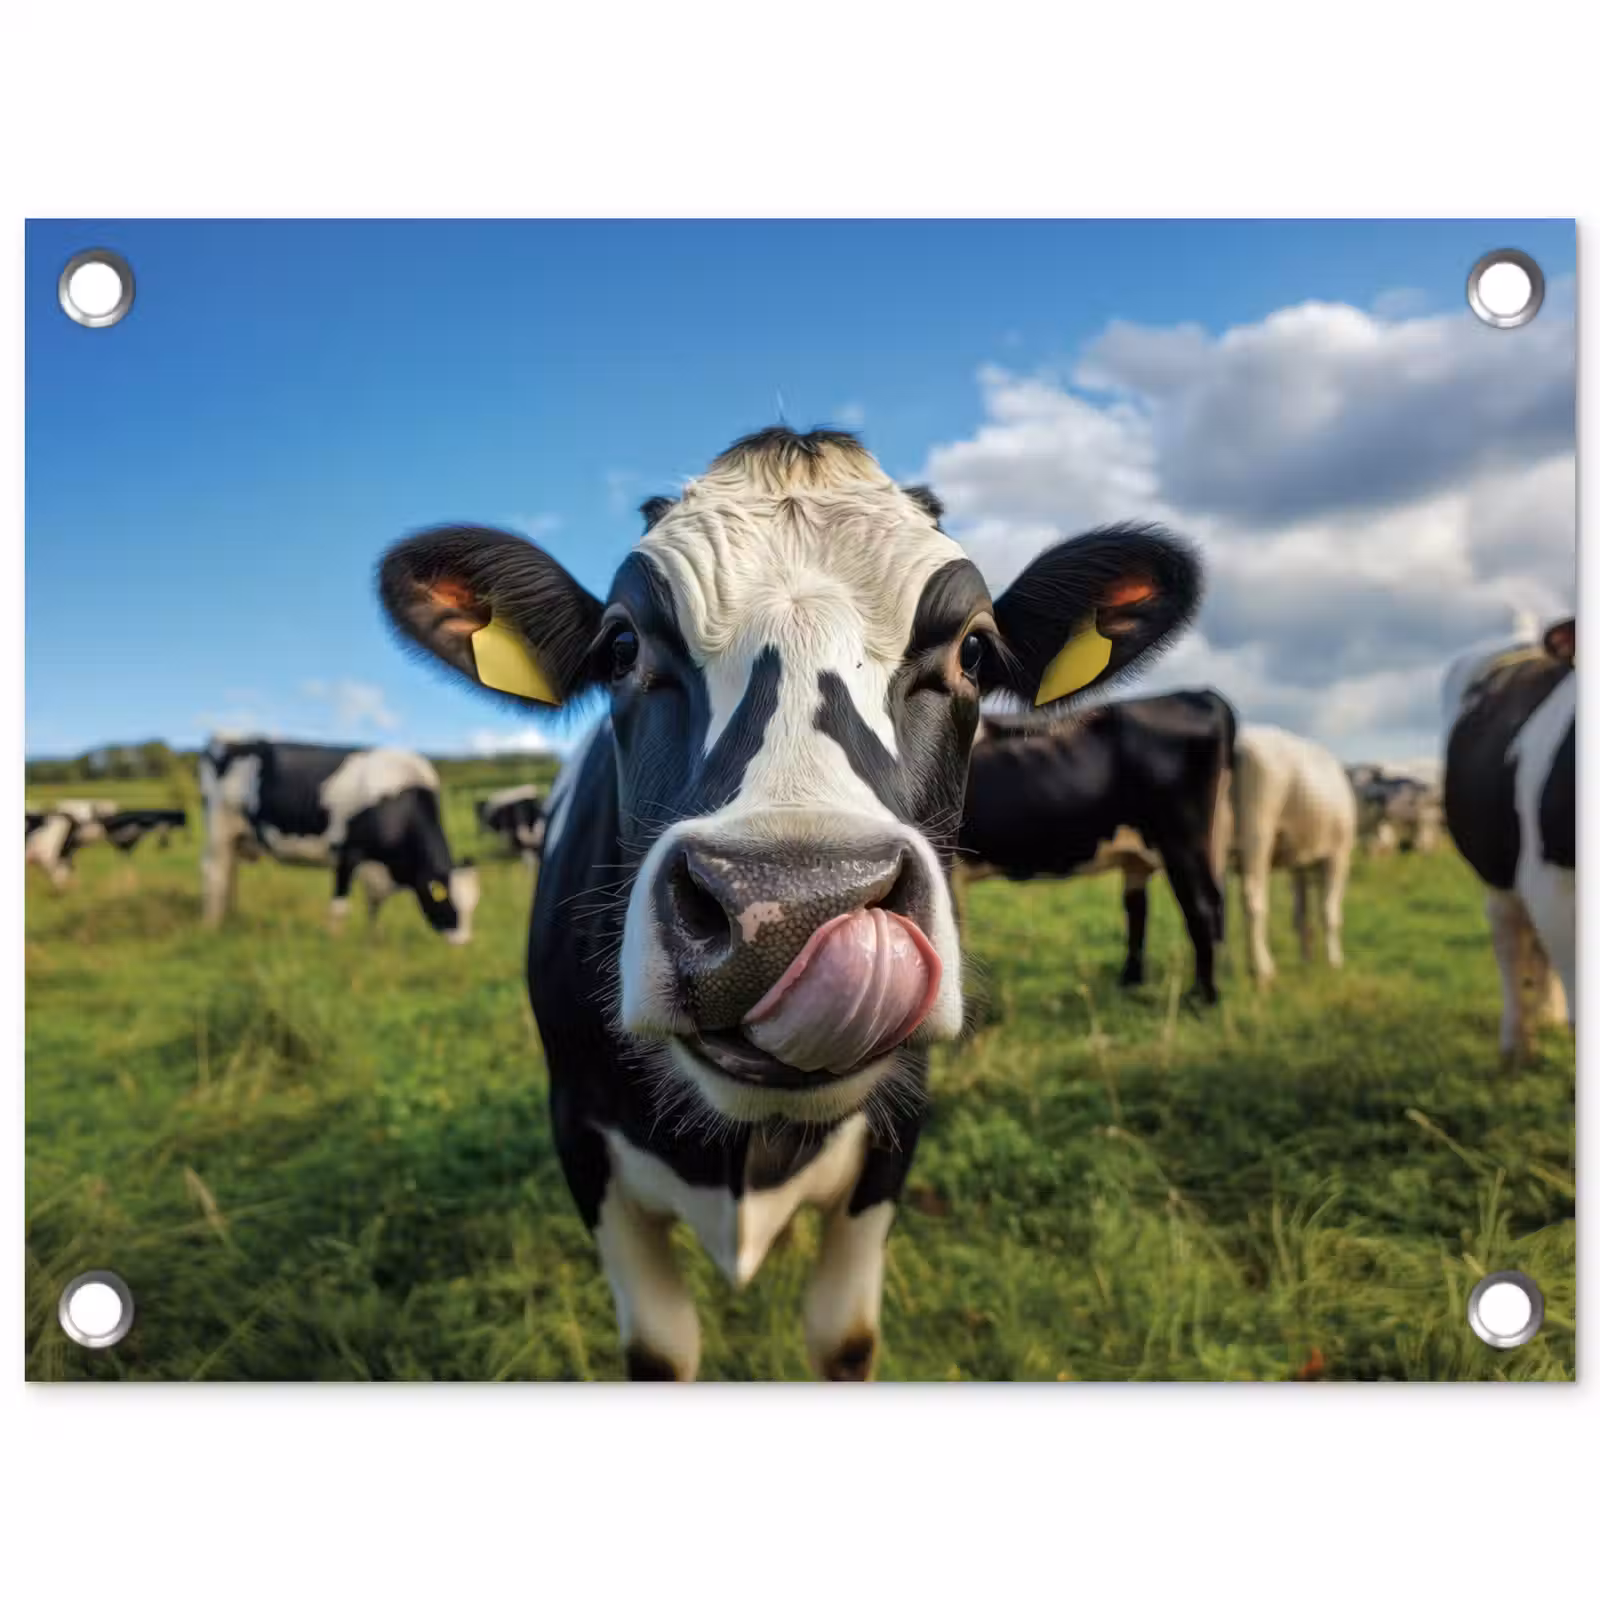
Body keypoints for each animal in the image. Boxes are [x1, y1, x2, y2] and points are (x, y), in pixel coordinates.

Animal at [198, 737, 480, 942]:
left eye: (473, 906)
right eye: (447, 901)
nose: (462, 943)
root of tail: (228, 741)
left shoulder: (377, 870)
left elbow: (374, 906)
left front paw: (373, 940)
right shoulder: (348, 854)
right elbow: (340, 906)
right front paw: (335, 942)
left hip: (236, 839)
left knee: (229, 874)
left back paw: (230, 918)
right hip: (218, 832)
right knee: (214, 875)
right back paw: (211, 926)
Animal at [377, 425, 1202, 1380]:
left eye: (974, 651)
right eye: (621, 647)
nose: (790, 909)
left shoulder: (894, 1137)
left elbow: (843, 1338)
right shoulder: (581, 1141)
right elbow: (660, 1348)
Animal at [955, 689, 1236, 1004]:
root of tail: (1201, 694)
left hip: (1182, 841)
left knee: (1201, 907)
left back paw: (1201, 997)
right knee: (1144, 908)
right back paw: (1131, 983)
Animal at [1229, 725, 1358, 983]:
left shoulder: (1299, 864)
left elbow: (1301, 914)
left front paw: (1306, 960)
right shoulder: (1339, 856)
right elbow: (1330, 912)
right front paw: (1334, 962)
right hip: (1257, 831)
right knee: (1253, 898)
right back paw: (1262, 969)